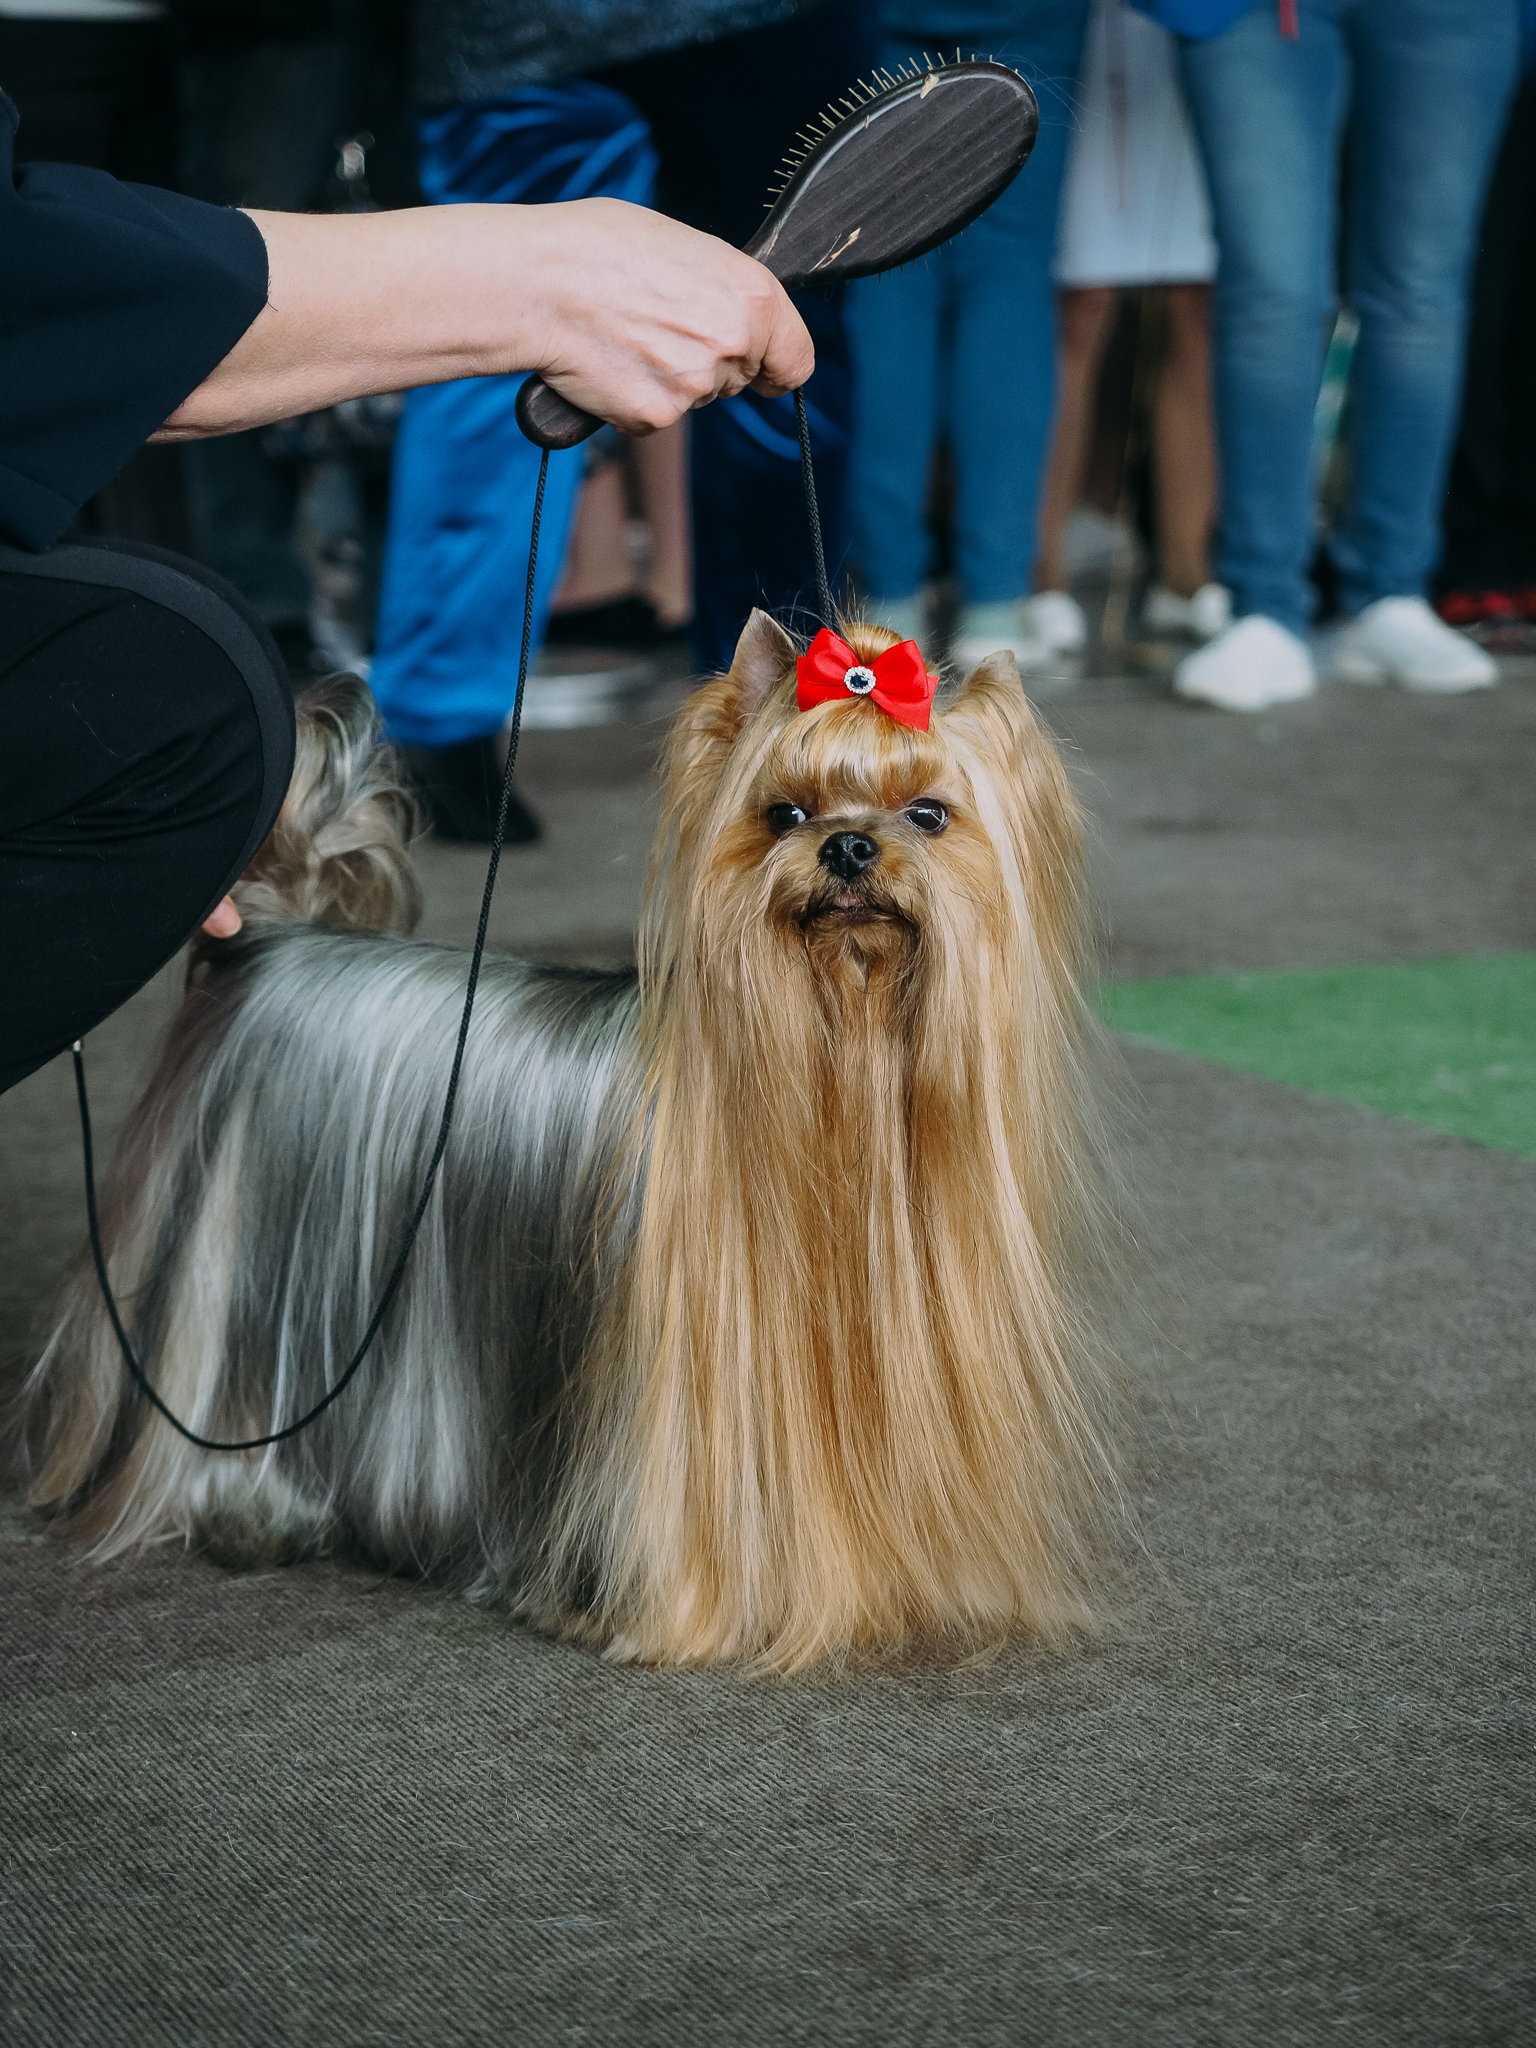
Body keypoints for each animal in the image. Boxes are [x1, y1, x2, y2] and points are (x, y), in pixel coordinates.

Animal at [27, 612, 1121, 1672]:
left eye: (929, 814)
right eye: (785, 814)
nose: (849, 849)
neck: (842, 1046)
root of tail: (271, 936)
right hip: (213, 1276)